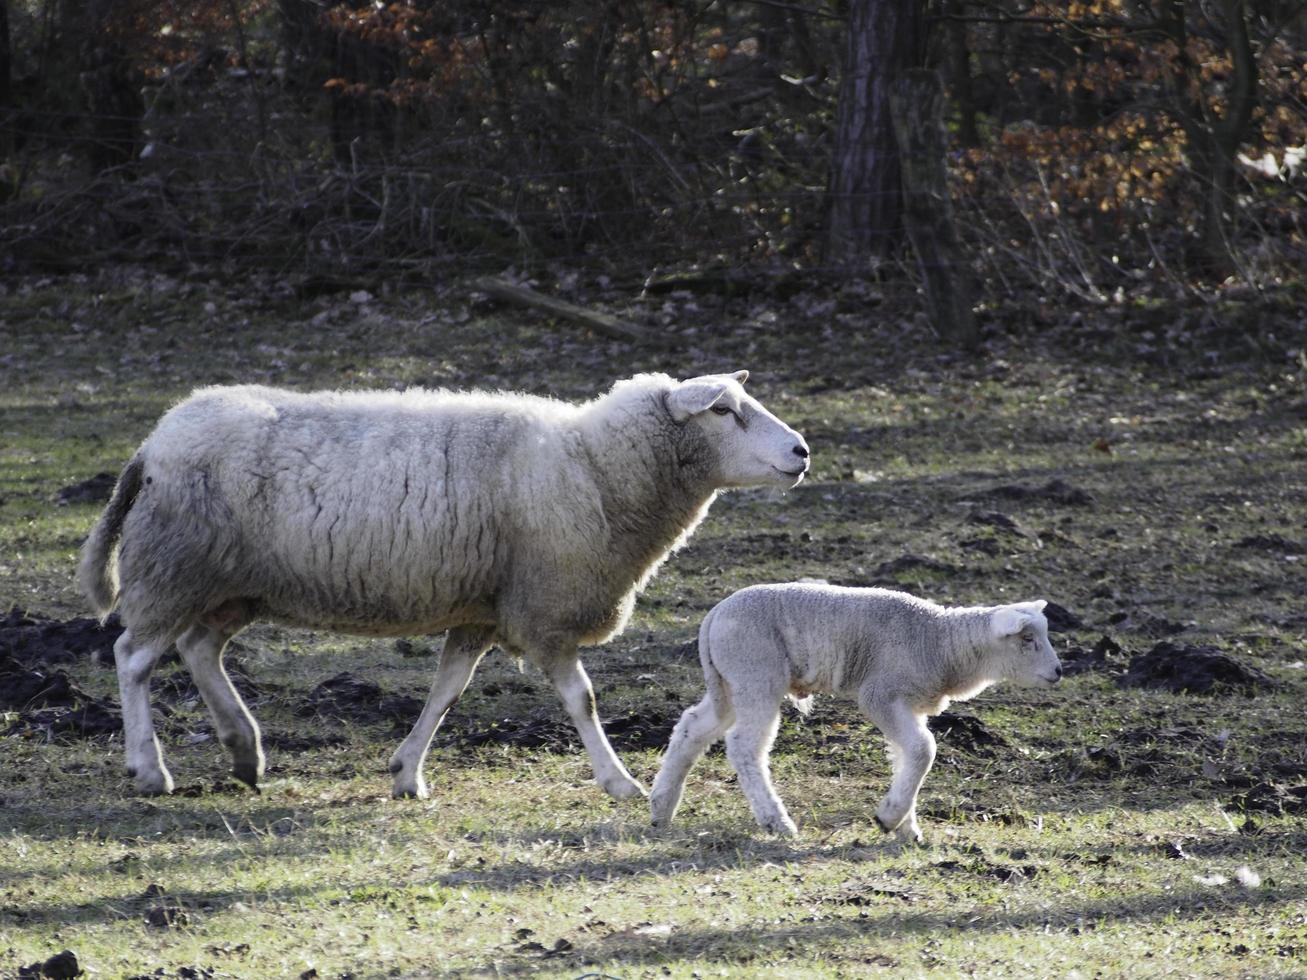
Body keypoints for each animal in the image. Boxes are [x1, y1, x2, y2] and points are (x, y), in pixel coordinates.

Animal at [81, 368, 805, 799]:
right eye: (723, 411)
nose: (801, 451)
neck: (595, 468)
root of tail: (155, 439)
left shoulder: (484, 610)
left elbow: (447, 692)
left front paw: (407, 772)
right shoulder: (542, 608)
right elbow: (583, 700)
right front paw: (619, 780)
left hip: (231, 584)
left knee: (200, 649)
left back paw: (243, 751)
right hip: (175, 569)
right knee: (133, 657)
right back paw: (149, 769)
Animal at [645, 582, 1061, 846]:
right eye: (1028, 639)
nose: (1058, 671)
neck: (941, 642)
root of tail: (714, 615)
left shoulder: (908, 704)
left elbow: (908, 755)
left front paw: (905, 827)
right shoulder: (881, 694)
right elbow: (924, 750)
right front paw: (890, 818)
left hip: (730, 682)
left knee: (691, 728)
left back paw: (661, 808)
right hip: (755, 673)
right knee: (745, 746)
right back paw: (777, 821)